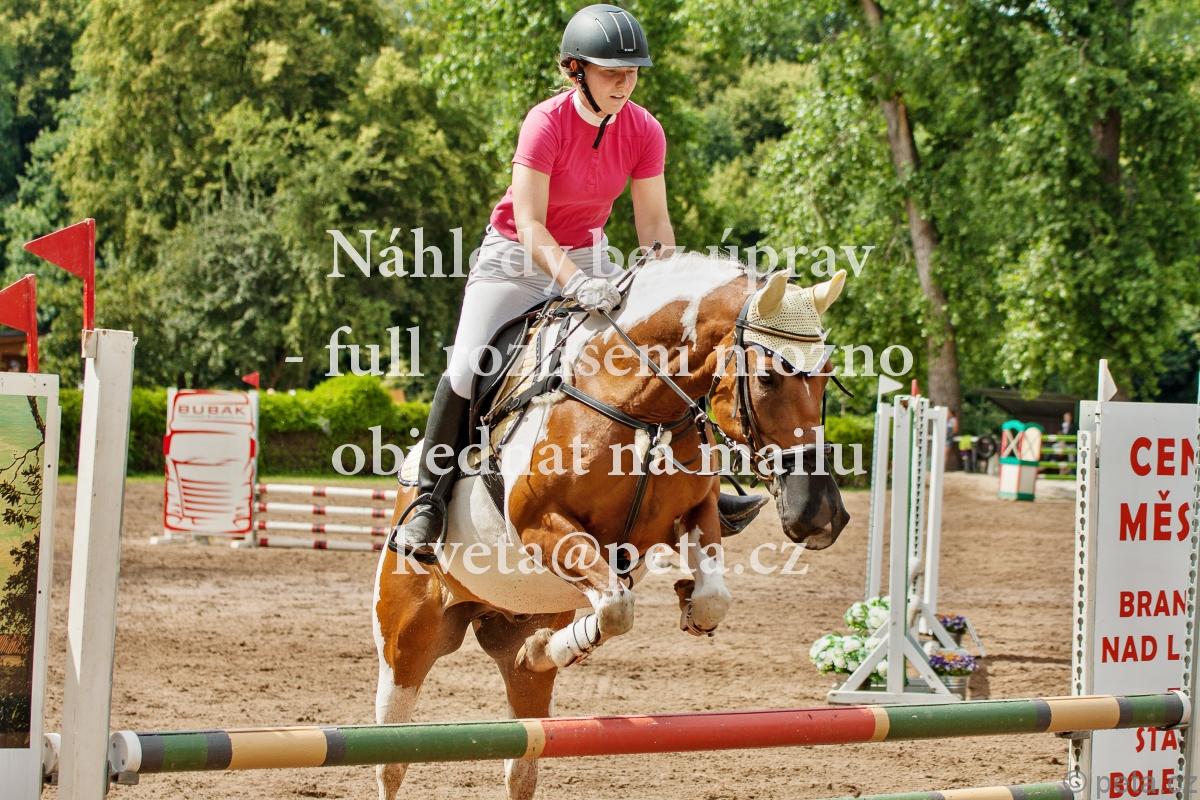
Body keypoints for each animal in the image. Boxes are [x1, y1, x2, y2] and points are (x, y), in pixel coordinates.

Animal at [373, 253, 850, 799]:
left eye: (827, 375)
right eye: (769, 378)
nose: (821, 515)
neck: (641, 406)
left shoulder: (693, 515)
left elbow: (710, 598)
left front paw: (685, 603)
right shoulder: (540, 525)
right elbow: (618, 608)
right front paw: (549, 647)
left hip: (515, 635)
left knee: (521, 760)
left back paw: (531, 652)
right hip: (406, 641)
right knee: (392, 760)